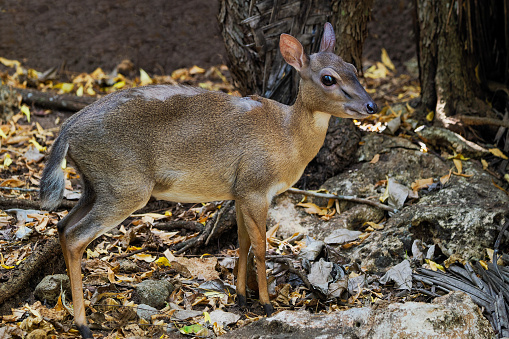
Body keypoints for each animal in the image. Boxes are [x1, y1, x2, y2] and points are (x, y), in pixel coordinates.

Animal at [39, 22, 376, 338]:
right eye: (328, 78)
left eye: (353, 67)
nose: (371, 106)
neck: (287, 137)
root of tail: (67, 130)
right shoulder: (255, 186)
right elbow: (261, 246)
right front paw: (267, 305)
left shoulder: (239, 192)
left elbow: (242, 243)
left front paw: (241, 299)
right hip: (125, 185)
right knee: (76, 235)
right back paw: (83, 325)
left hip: (94, 185)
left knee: (63, 225)